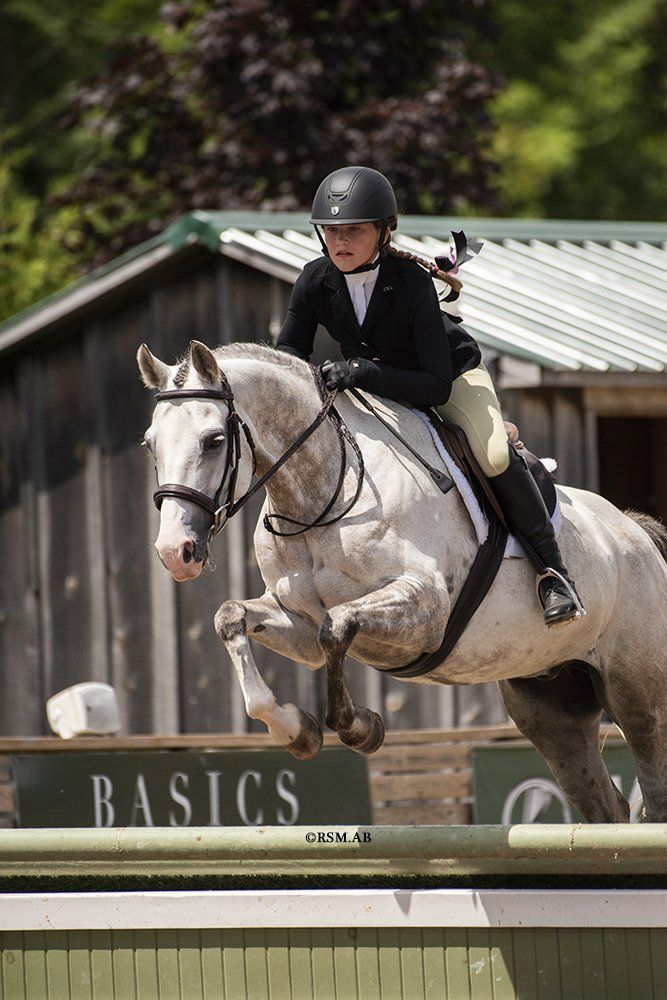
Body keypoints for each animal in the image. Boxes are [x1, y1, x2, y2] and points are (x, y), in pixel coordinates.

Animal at [138, 339, 667, 823]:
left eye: (213, 440)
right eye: (150, 443)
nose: (174, 552)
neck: (326, 492)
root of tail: (637, 531)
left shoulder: (426, 608)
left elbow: (338, 625)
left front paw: (360, 728)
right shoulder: (297, 624)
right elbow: (234, 619)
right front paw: (296, 731)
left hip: (641, 699)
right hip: (551, 708)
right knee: (608, 809)